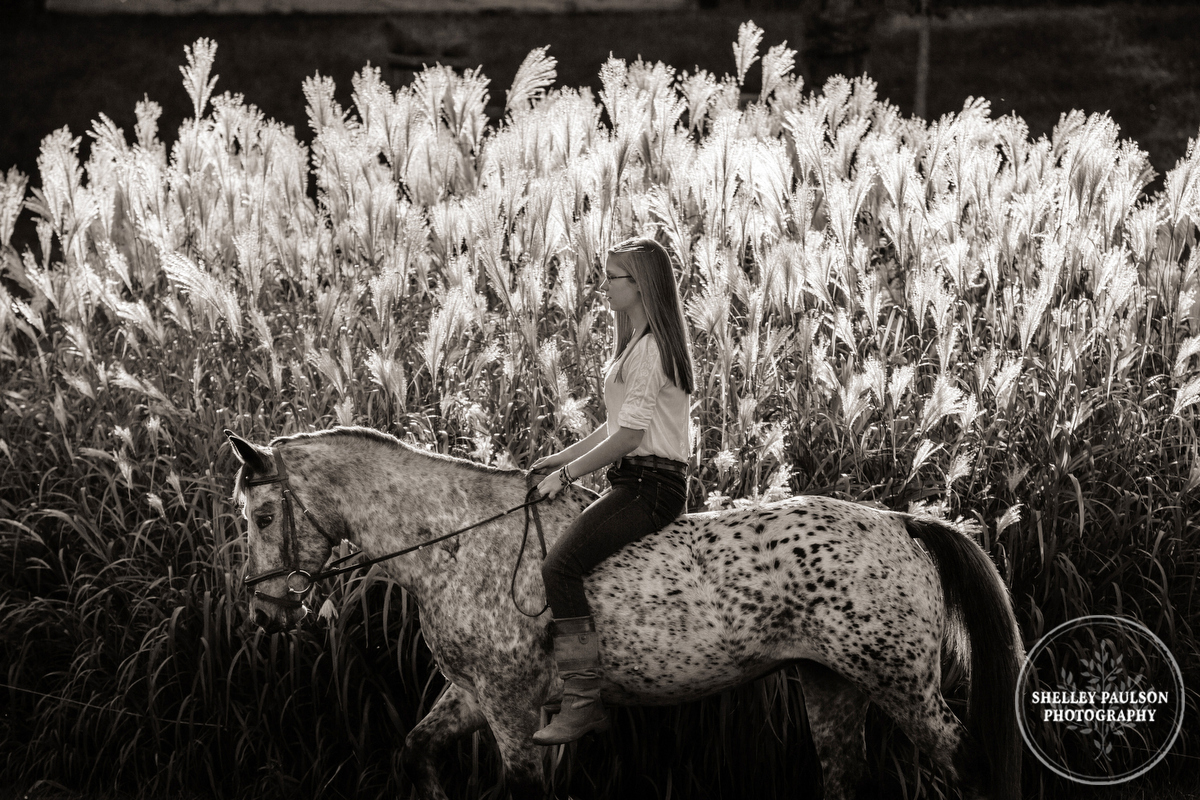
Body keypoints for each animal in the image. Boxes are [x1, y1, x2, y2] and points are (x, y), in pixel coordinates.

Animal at [225, 429, 1022, 796]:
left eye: (262, 515)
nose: (265, 612)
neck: (459, 540)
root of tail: (903, 522)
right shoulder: (473, 695)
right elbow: (413, 752)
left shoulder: (513, 705)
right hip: (832, 684)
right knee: (843, 774)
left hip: (900, 685)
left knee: (967, 763)